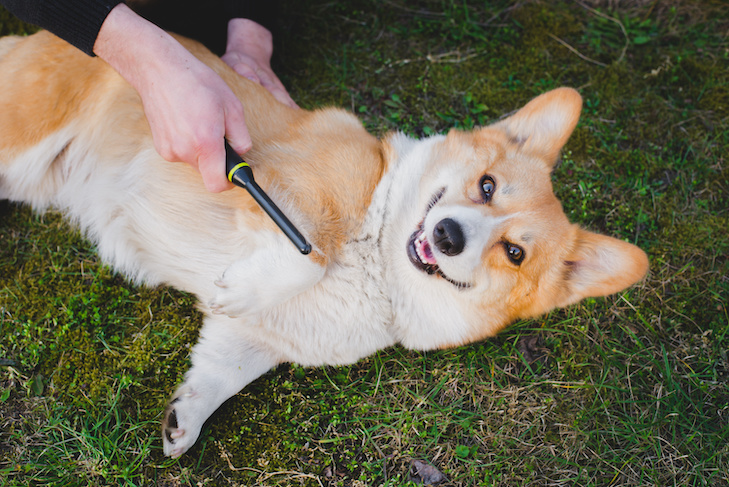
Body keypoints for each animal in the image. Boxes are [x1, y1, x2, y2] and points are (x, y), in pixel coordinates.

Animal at [0, 30, 648, 458]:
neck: (378, 265)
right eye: (486, 186)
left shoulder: (255, 340)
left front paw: (183, 423)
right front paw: (242, 285)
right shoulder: (277, 188)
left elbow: (219, 373)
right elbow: (307, 255)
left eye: (514, 253)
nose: (447, 234)